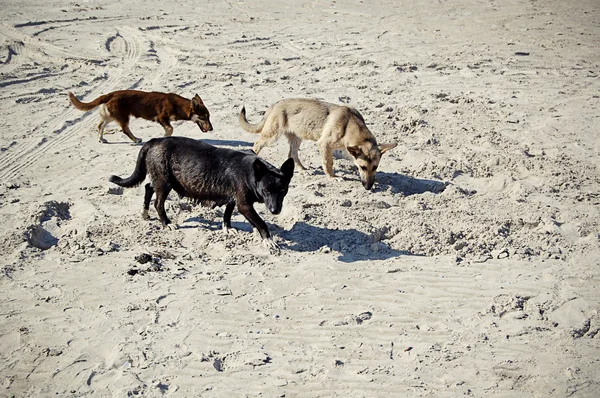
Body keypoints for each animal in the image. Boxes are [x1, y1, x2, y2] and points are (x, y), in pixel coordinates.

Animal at [68, 90, 213, 143]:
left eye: (209, 116)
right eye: (203, 117)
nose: (211, 129)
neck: (179, 106)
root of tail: (111, 94)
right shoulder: (161, 118)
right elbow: (170, 129)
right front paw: (164, 138)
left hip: (110, 116)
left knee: (100, 125)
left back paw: (101, 139)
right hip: (123, 116)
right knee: (125, 129)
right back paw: (136, 139)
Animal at [109, 137, 296, 249]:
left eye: (283, 190)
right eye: (265, 191)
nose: (275, 211)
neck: (251, 172)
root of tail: (154, 141)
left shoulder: (233, 198)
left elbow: (227, 214)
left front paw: (227, 228)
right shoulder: (244, 205)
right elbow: (261, 223)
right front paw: (269, 241)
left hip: (162, 180)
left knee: (148, 187)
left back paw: (145, 213)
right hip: (164, 182)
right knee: (158, 202)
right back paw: (166, 223)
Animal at [237, 97, 396, 189]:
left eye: (375, 167)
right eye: (363, 167)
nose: (368, 187)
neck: (350, 124)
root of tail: (275, 104)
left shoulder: (344, 149)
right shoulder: (324, 144)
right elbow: (328, 163)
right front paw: (332, 177)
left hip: (297, 137)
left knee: (292, 154)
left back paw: (302, 170)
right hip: (272, 136)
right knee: (256, 145)